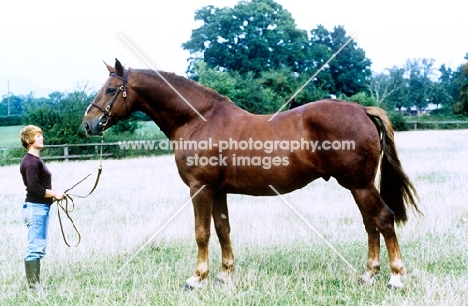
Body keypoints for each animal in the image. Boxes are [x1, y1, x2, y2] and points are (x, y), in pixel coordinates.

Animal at [81, 58, 420, 290]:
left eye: (110, 89)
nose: (88, 124)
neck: (197, 119)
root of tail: (362, 109)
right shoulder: (218, 190)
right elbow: (222, 229)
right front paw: (224, 274)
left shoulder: (200, 188)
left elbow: (202, 232)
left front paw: (197, 278)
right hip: (357, 186)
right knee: (370, 223)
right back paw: (369, 273)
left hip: (360, 185)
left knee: (383, 219)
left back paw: (395, 277)